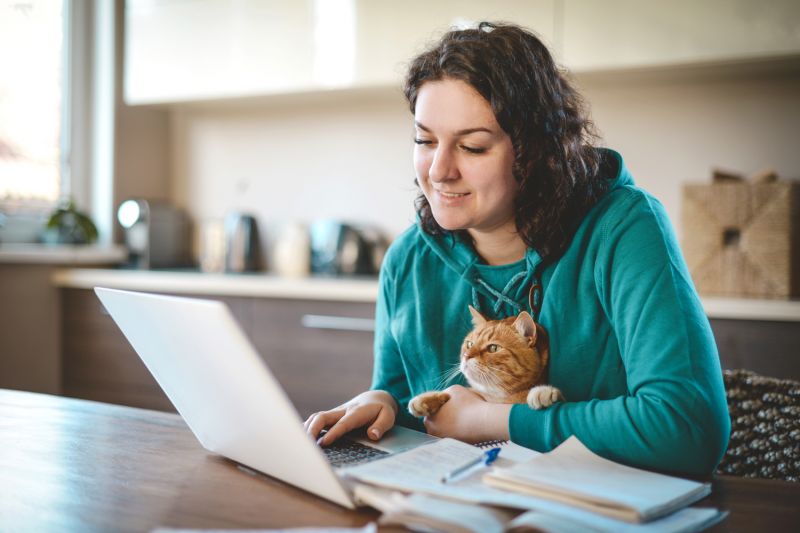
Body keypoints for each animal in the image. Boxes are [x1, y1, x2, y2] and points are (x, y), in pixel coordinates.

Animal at [410, 306, 564, 418]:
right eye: (470, 344)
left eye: (493, 348)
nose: (466, 356)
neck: (495, 397)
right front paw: (426, 399)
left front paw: (544, 392)